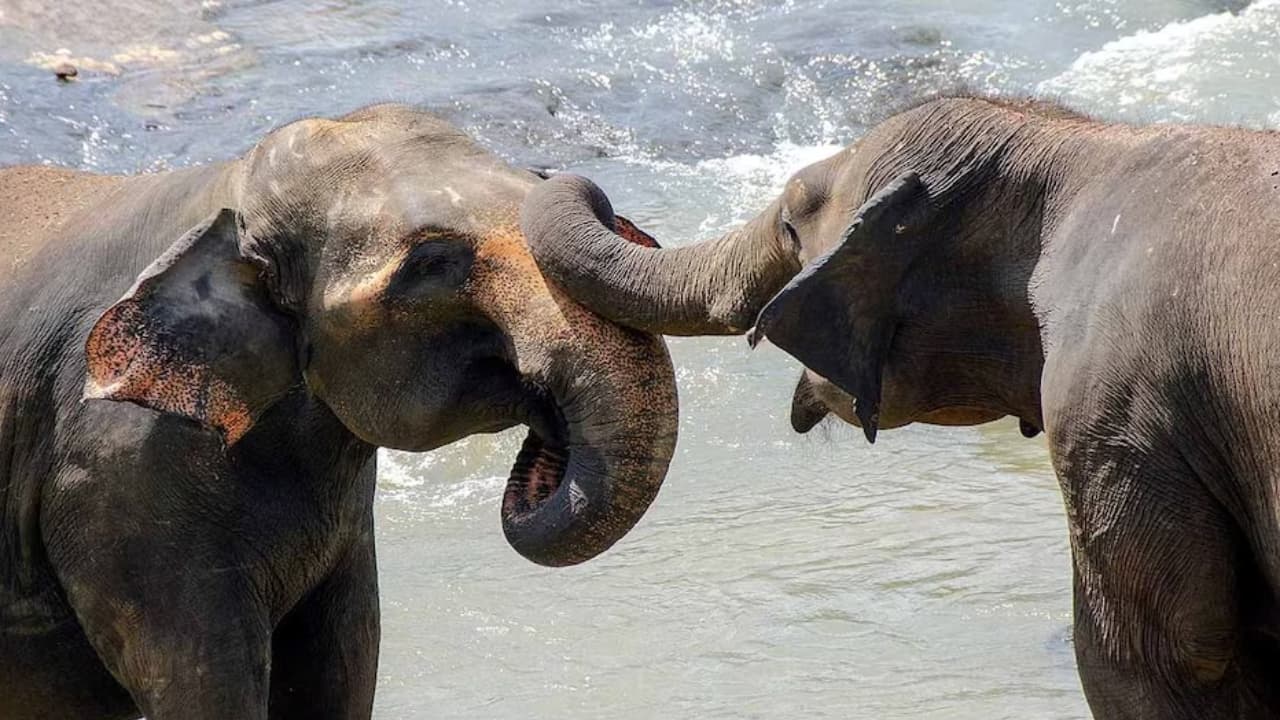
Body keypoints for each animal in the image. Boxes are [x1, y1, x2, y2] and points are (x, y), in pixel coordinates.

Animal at [0, 104, 677, 720]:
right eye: (430, 264)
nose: (570, 182)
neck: (226, 191)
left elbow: (341, 669)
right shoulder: (117, 476)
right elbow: (207, 686)